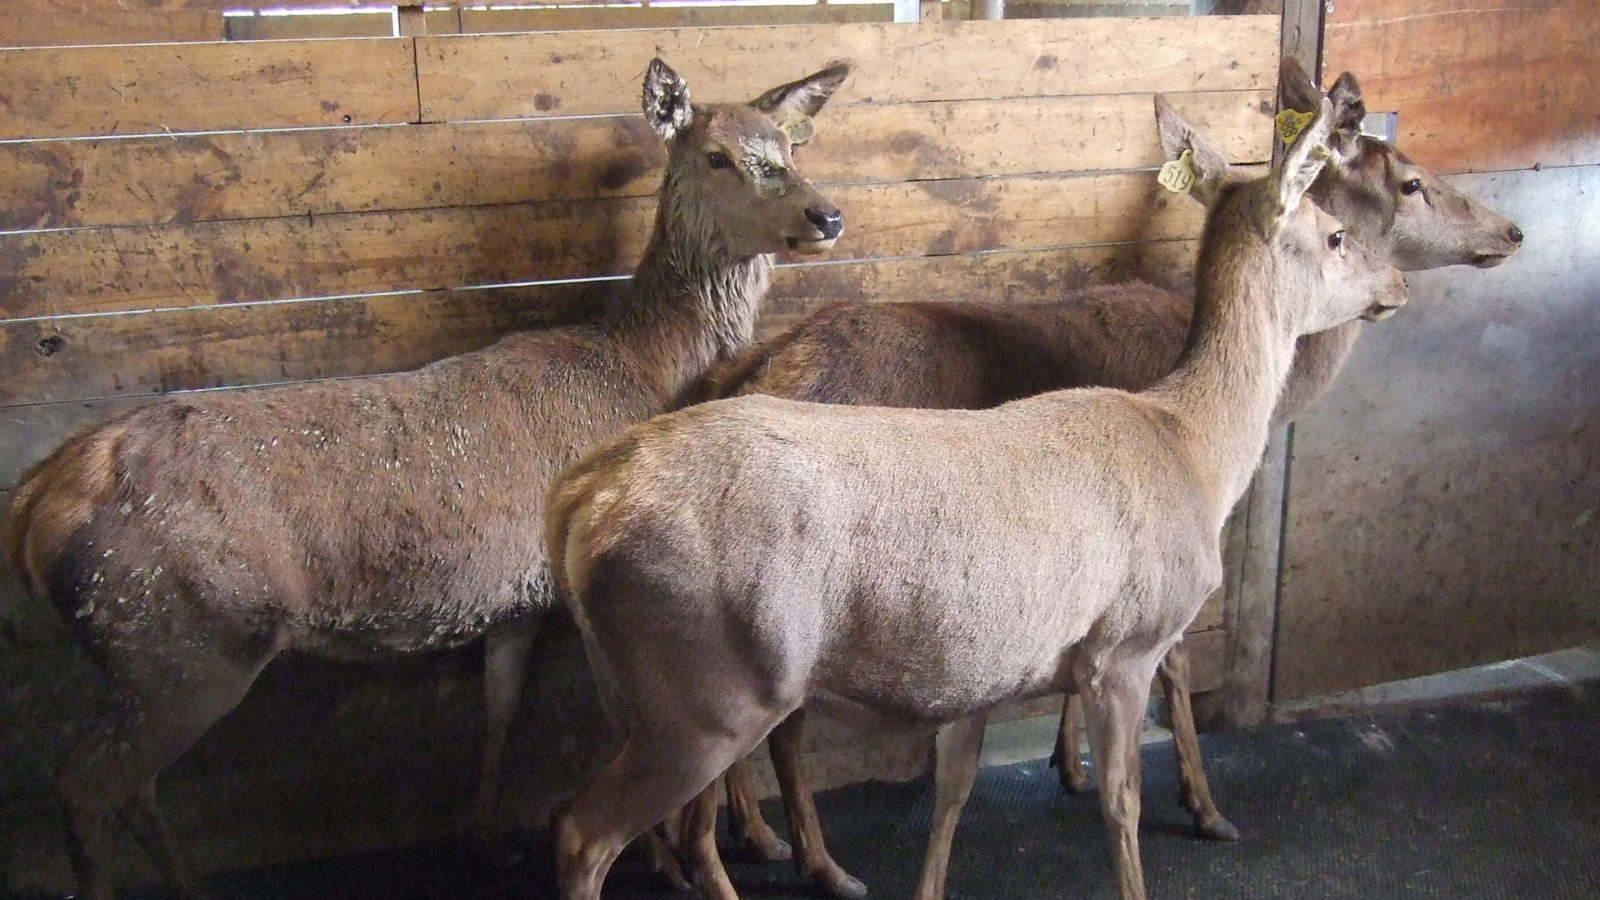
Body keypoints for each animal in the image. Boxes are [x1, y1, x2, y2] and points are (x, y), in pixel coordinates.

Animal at [0, 57, 849, 900]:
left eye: (787, 145)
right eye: (717, 155)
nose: (827, 214)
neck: (645, 369)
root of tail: (36, 506)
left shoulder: (518, 603)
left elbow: (500, 713)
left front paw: (484, 841)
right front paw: (669, 861)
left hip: (146, 652)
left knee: (130, 786)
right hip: (184, 639)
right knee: (83, 782)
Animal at [670, 58, 1524, 899]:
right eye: (1409, 182)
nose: (1510, 232)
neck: (1210, 425)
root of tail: (745, 369)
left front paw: (1068, 763)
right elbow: (1164, 697)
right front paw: (1202, 805)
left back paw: (772, 845)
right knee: (745, 752)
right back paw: (776, 858)